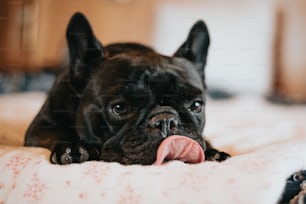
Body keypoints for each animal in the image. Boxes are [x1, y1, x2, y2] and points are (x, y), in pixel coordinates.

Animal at [24, 12, 230, 164]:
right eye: (120, 108)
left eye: (196, 105)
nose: (166, 120)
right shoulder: (38, 128)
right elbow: (57, 131)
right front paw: (73, 147)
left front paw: (213, 151)